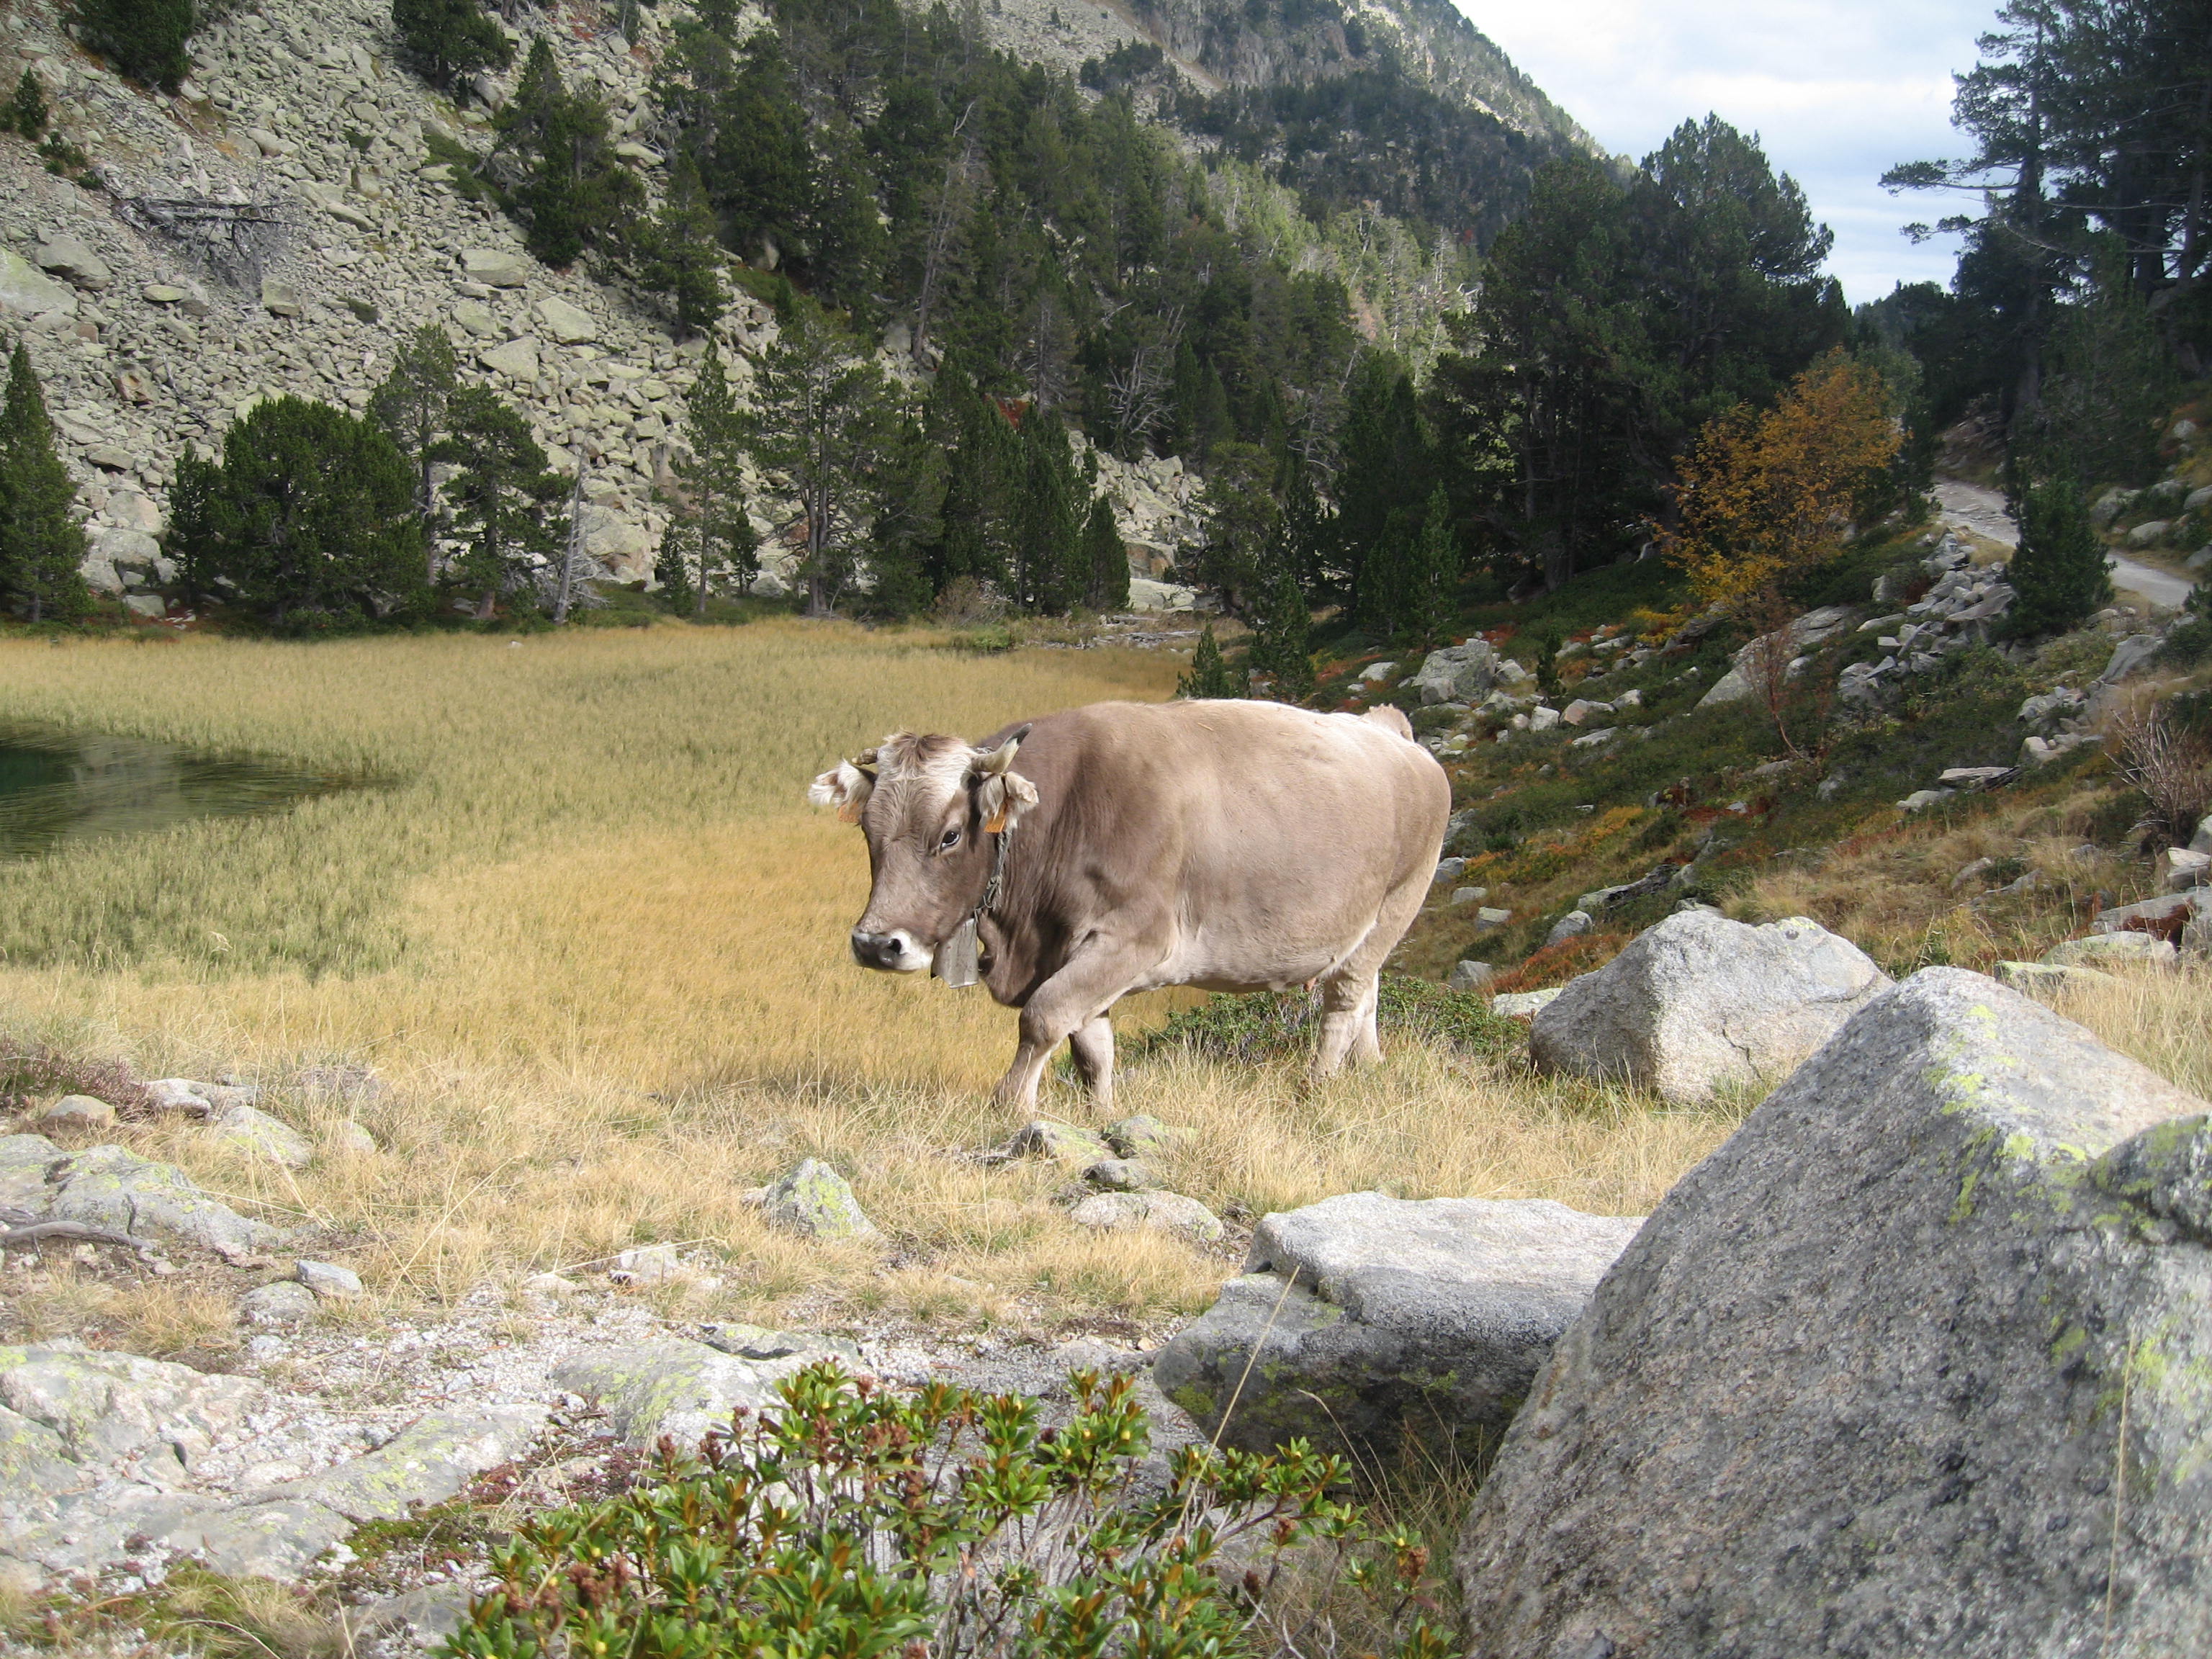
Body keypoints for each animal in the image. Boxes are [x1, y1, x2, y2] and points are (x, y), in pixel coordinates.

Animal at [808, 698, 1449, 1113]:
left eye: (949, 836)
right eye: (867, 830)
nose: (876, 945)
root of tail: (1389, 732)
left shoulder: (1135, 939)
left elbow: (1044, 1016)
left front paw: (1013, 1106)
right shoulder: (1071, 949)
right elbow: (1091, 1046)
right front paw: (1103, 1116)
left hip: (1397, 905)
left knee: (1343, 1001)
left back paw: (1317, 1088)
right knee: (1367, 994)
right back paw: (1367, 1069)